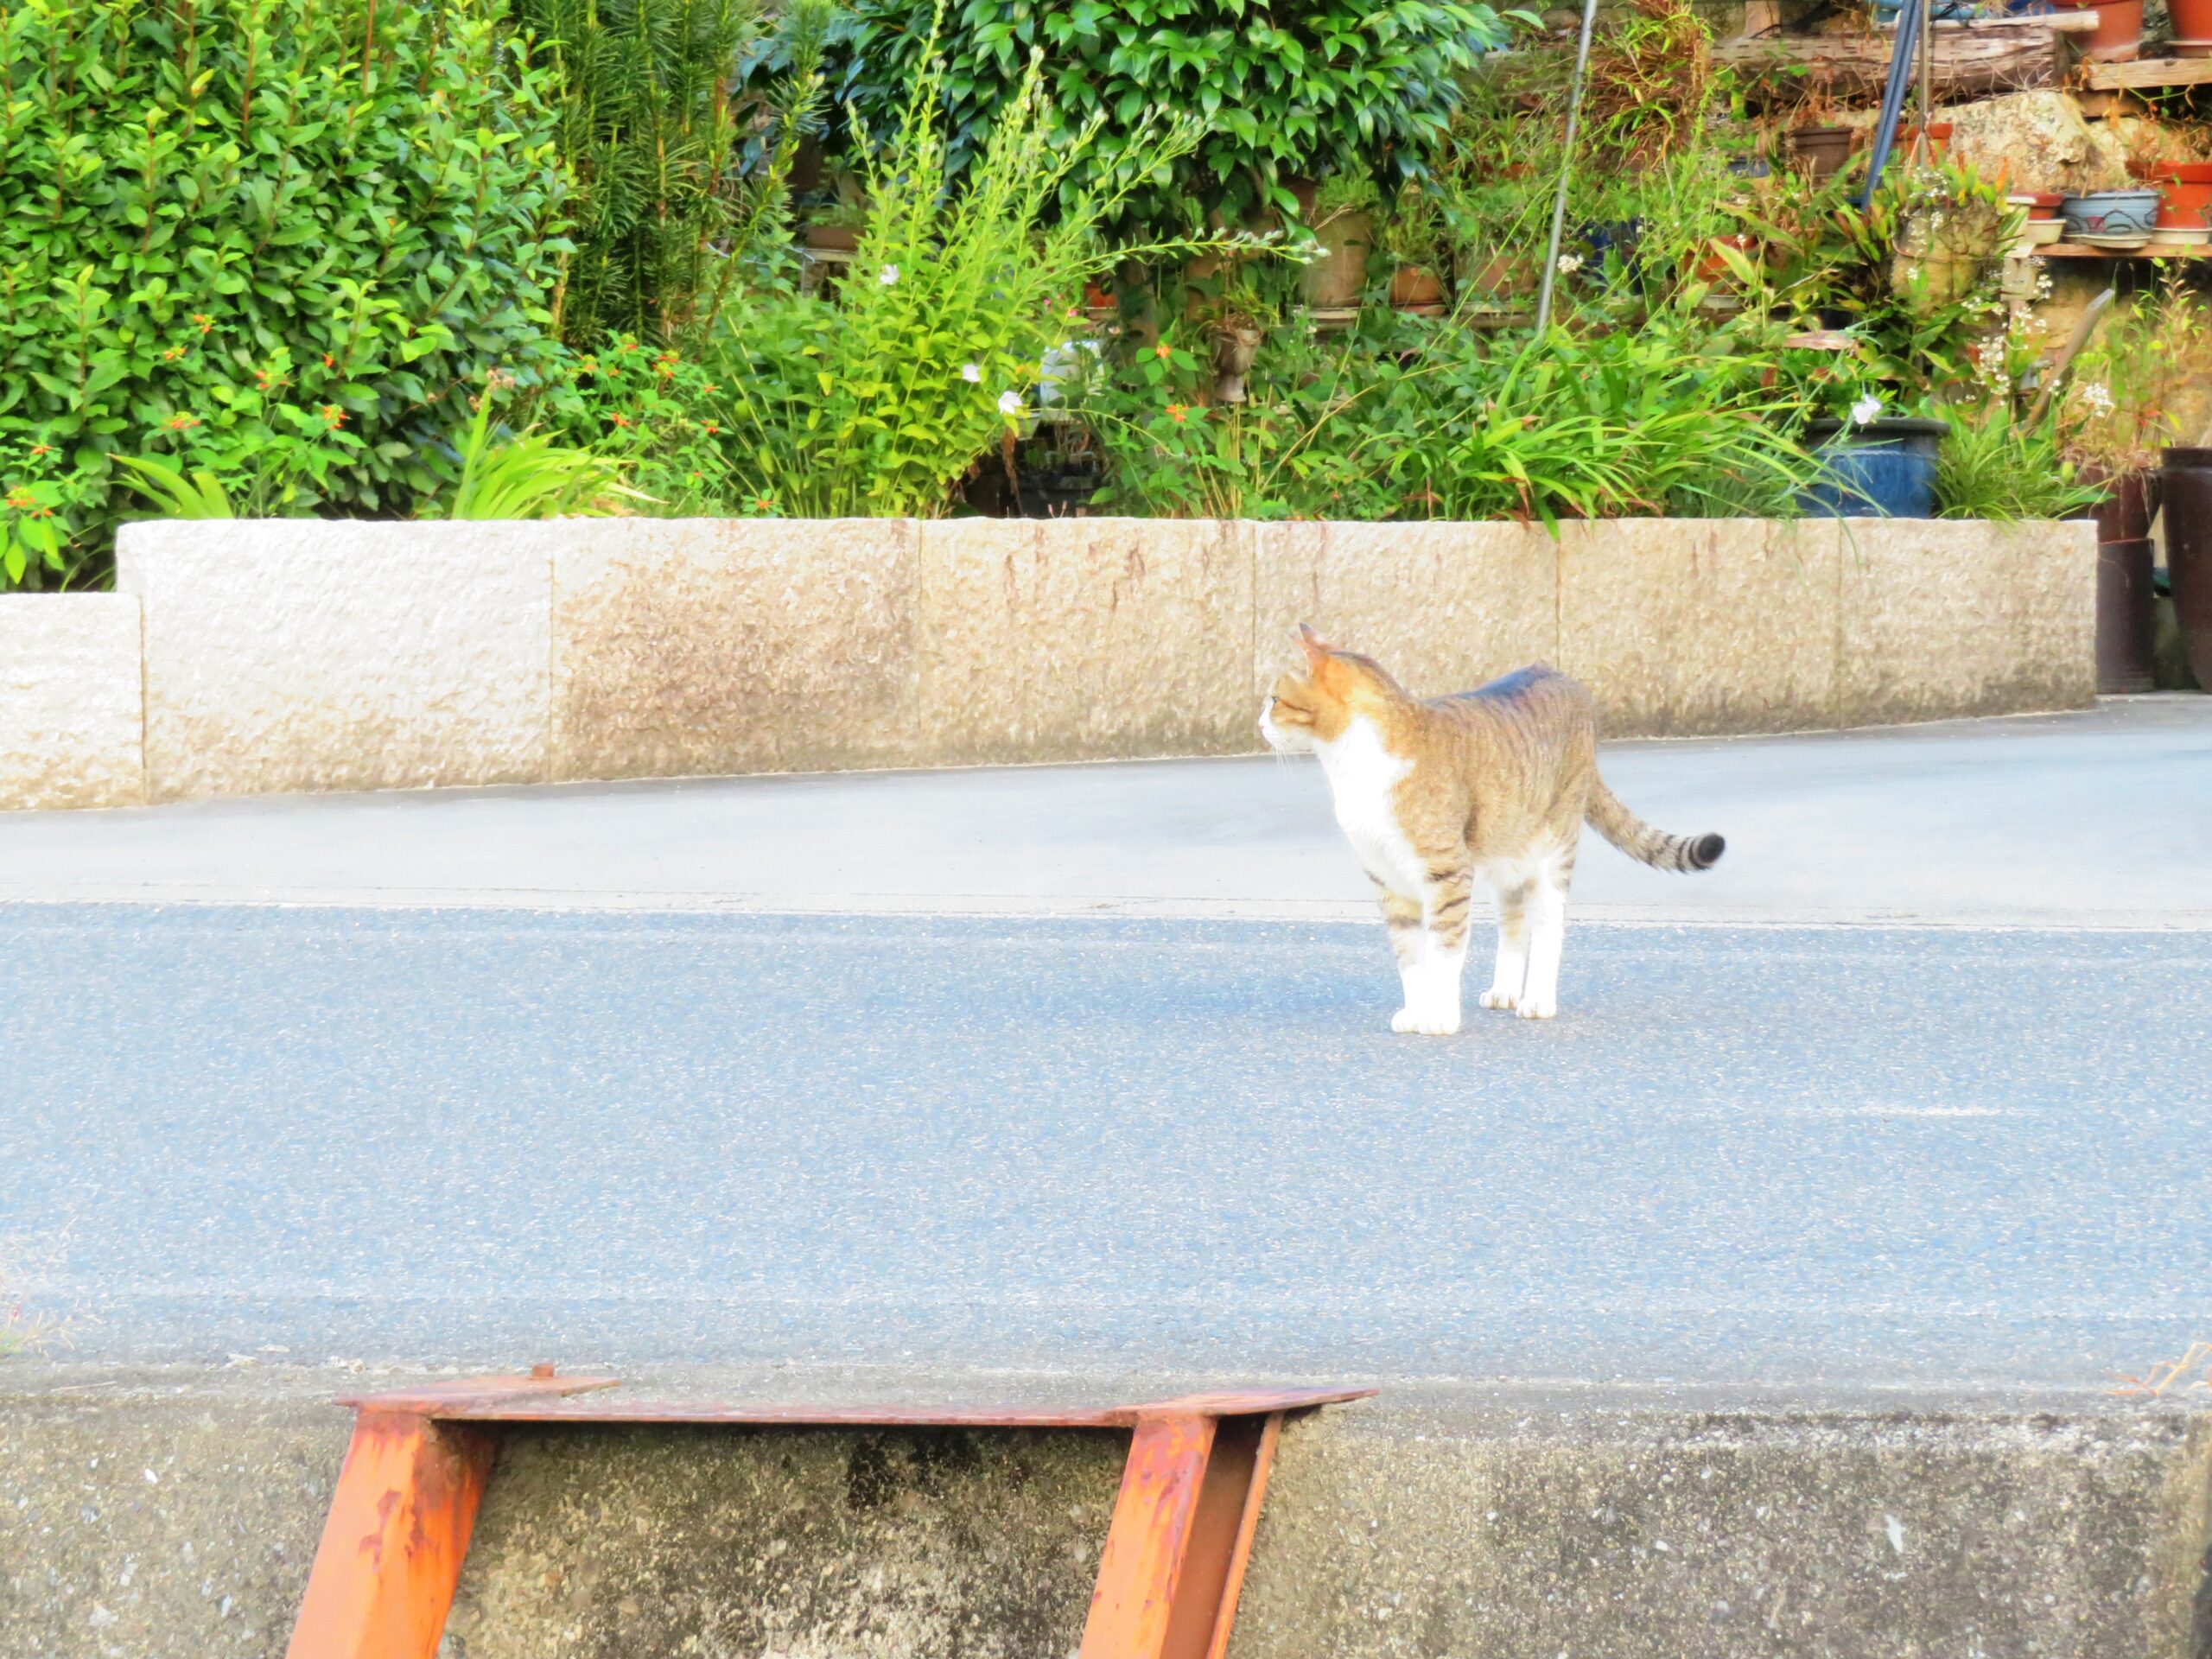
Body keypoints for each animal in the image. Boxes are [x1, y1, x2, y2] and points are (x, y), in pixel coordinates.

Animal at [1265, 628, 1725, 1035]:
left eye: (1274, 699)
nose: (1259, 722)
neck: (1353, 766)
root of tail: (1561, 675)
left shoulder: (1446, 871)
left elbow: (1445, 949)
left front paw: (1439, 1017)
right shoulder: (1387, 878)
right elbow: (1409, 955)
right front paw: (1415, 1011)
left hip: (1554, 849)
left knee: (1547, 925)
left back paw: (1537, 999)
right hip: (1504, 854)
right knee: (1513, 924)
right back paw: (1505, 990)